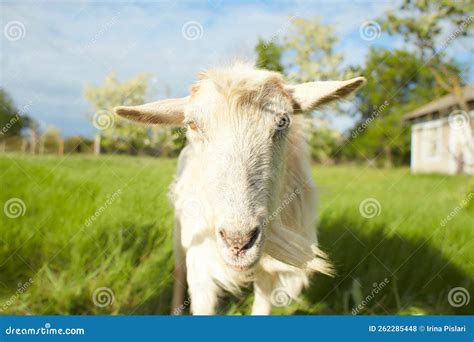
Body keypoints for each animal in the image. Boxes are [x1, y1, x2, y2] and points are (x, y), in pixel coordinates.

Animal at [115, 62, 366, 314]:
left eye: (283, 121)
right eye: (192, 124)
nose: (239, 242)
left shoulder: (270, 272)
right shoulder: (202, 265)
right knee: (179, 266)